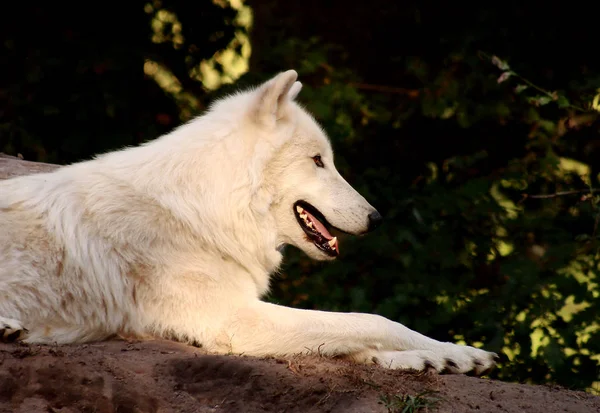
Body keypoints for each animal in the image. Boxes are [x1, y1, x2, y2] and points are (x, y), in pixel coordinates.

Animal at [0, 70, 496, 374]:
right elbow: (372, 321)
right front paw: (447, 352)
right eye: (318, 161)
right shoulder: (234, 319)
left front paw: (444, 358)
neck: (207, 209)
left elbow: (361, 340)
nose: (376, 218)